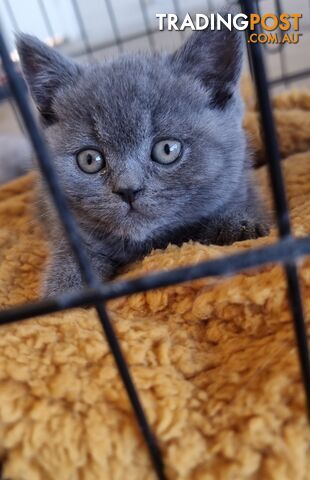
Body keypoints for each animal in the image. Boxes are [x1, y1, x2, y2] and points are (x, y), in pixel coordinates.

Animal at [16, 27, 268, 296]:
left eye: (167, 150)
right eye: (90, 159)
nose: (128, 190)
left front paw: (237, 226)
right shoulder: (67, 231)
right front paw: (67, 292)